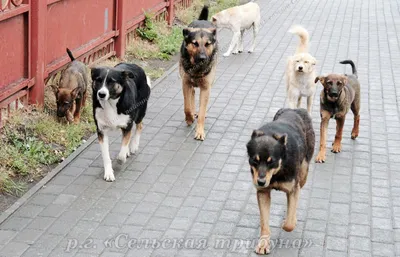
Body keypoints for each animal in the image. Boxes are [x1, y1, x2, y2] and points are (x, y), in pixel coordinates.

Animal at [180, 4, 219, 140]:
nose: (202, 58)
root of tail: (202, 20)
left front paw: (200, 132)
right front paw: (189, 118)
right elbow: (187, 106)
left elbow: (202, 112)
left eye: (207, 44)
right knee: (191, 96)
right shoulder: (186, 83)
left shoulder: (206, 88)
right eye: (195, 43)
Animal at [245, 107, 314, 253]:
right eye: (254, 160)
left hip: (303, 174)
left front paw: (288, 222)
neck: (277, 172)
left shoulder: (293, 189)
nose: (260, 182)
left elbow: (289, 224)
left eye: (271, 161)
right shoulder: (263, 192)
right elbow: (264, 223)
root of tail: (294, 109)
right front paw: (263, 244)